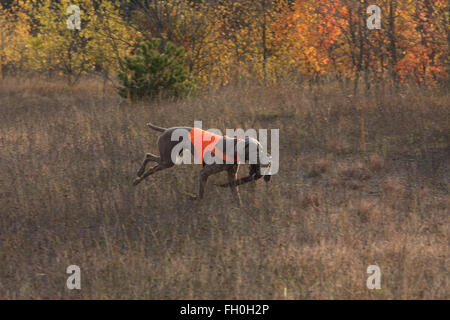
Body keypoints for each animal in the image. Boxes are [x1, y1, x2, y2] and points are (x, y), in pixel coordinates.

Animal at [131, 122, 270, 205]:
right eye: (257, 150)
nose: (268, 160)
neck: (234, 148)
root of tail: (165, 130)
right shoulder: (204, 172)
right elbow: (201, 194)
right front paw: (192, 197)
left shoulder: (231, 176)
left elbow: (236, 196)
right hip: (168, 160)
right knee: (148, 157)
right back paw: (138, 175)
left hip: (168, 160)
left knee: (150, 164)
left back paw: (137, 179)